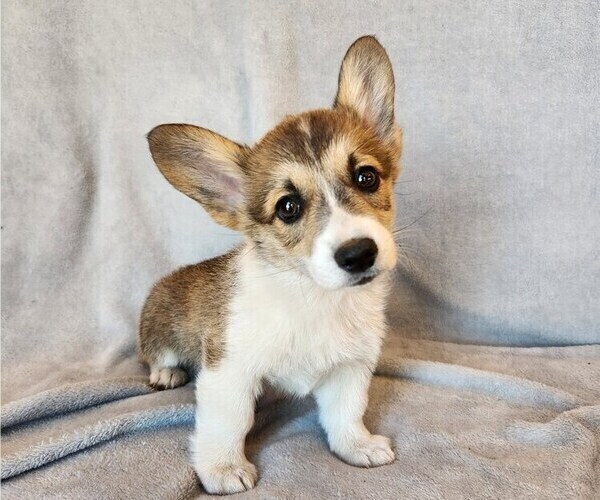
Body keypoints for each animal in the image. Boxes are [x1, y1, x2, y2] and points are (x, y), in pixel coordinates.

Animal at [139, 36, 404, 496]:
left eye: (367, 177)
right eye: (288, 207)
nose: (358, 254)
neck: (315, 297)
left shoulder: (351, 368)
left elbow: (347, 412)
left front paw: (357, 446)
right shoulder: (228, 371)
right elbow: (229, 422)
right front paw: (223, 468)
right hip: (160, 330)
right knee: (157, 355)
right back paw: (167, 373)